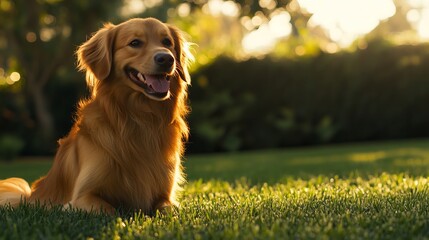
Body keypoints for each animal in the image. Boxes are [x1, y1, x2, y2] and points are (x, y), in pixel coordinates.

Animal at [0, 18, 192, 214]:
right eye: (135, 43)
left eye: (167, 42)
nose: (166, 58)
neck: (140, 117)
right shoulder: (82, 197)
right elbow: (111, 210)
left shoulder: (165, 196)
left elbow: (170, 209)